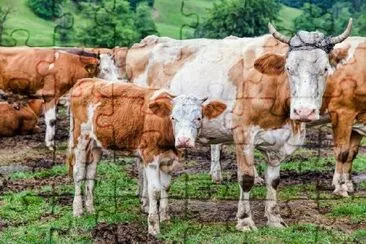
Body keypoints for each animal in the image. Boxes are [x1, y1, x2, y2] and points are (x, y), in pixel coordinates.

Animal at [66, 77, 226, 234]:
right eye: (173, 117)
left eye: (198, 118)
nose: (183, 140)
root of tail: (87, 80)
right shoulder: (150, 157)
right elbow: (154, 190)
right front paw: (154, 226)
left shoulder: (168, 160)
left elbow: (166, 186)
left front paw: (165, 217)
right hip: (81, 139)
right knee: (79, 173)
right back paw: (78, 210)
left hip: (96, 145)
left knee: (90, 174)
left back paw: (91, 209)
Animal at [126, 20, 352, 232]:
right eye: (289, 68)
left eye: (325, 69)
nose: (303, 111)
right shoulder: (243, 134)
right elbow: (247, 178)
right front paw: (245, 221)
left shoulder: (279, 141)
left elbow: (274, 181)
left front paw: (274, 219)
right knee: (142, 164)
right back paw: (145, 202)